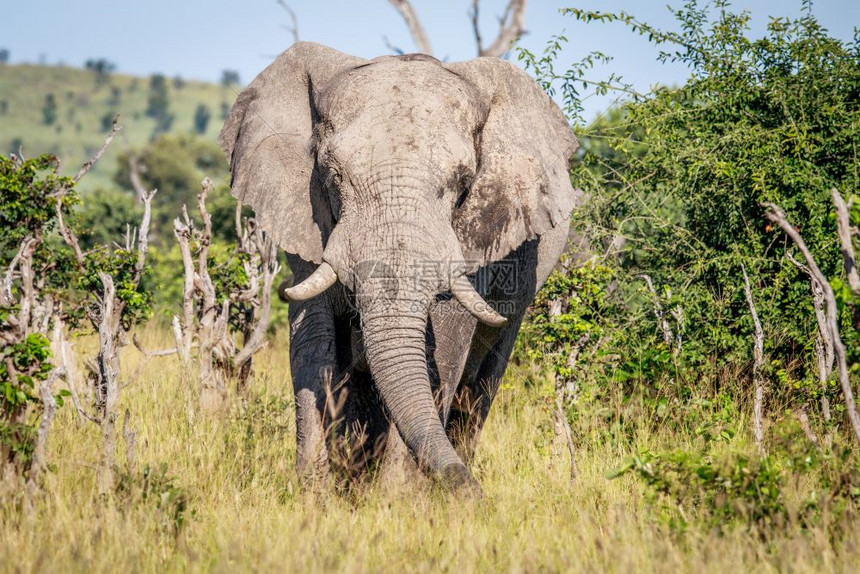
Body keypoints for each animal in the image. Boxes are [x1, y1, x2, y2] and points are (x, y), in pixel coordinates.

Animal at [218, 42, 580, 492]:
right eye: (332, 174)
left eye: (463, 182)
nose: (478, 495)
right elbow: (313, 341)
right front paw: (312, 494)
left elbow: (444, 343)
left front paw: (396, 497)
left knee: (481, 382)